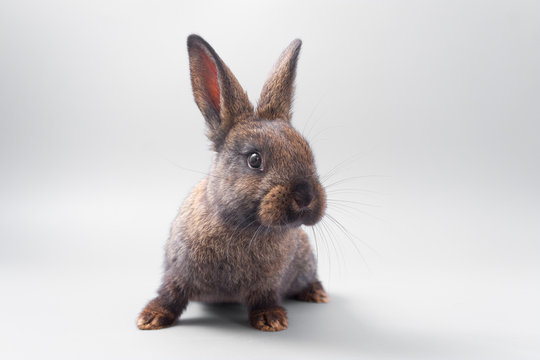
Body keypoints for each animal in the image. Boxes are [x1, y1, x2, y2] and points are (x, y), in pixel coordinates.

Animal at [135, 34, 330, 332]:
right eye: (254, 159)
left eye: (308, 152)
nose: (306, 196)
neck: (244, 226)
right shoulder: (178, 271)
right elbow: (170, 293)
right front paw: (150, 318)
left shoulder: (268, 283)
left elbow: (265, 297)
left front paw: (271, 320)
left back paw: (317, 293)